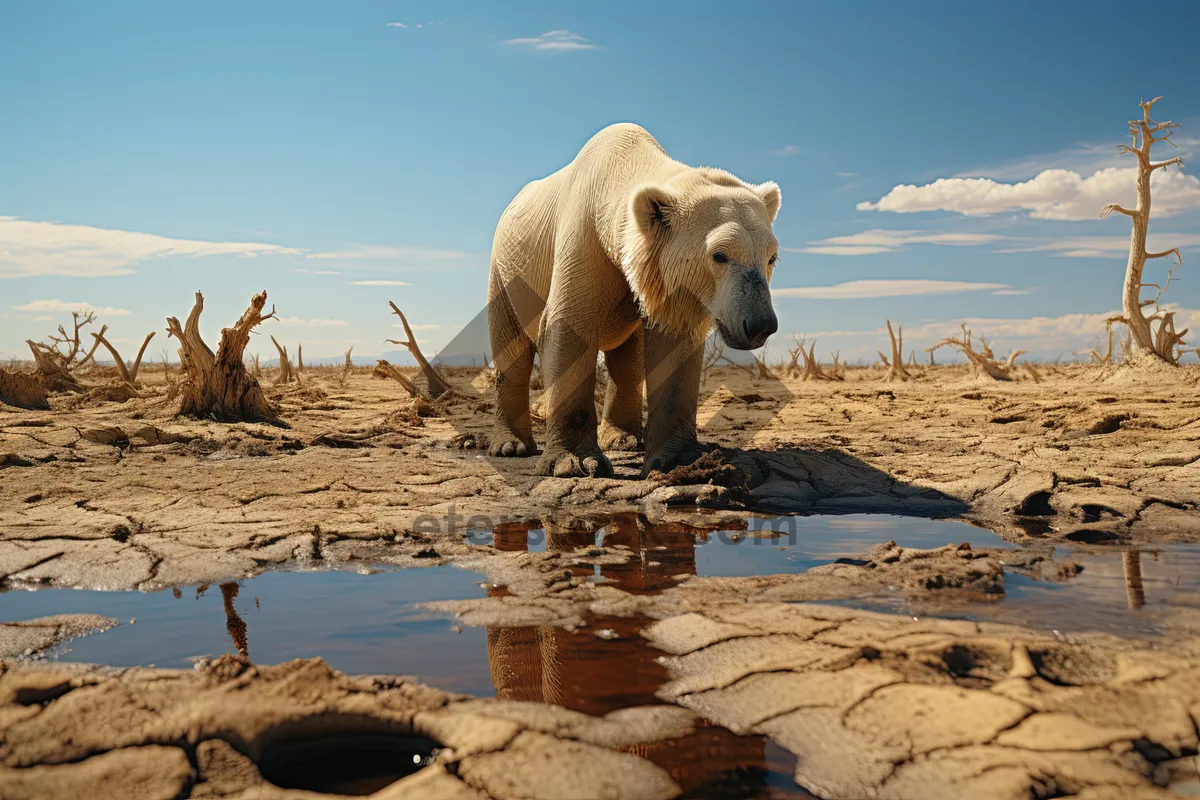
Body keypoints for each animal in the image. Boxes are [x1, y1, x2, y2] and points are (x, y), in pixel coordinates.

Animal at [484, 122, 777, 479]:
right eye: (719, 255)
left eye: (771, 258)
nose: (761, 324)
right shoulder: (584, 239)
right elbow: (568, 326)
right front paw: (575, 462)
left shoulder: (656, 277)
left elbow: (672, 343)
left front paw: (680, 459)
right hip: (506, 268)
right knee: (510, 343)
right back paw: (510, 445)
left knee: (628, 355)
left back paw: (624, 438)